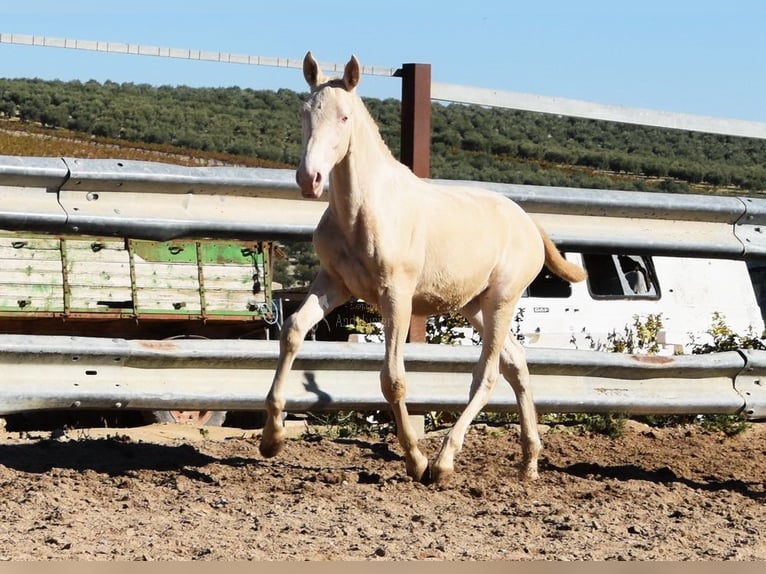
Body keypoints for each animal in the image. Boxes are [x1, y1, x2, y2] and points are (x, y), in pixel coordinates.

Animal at [258, 53, 588, 486]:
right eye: (303, 112)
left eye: (344, 117)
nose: (308, 179)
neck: (363, 211)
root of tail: (530, 224)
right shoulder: (334, 283)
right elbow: (293, 332)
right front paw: (271, 440)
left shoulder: (395, 294)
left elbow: (392, 378)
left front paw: (415, 460)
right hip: (474, 305)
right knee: (516, 363)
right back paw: (529, 462)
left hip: (502, 300)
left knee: (488, 374)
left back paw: (444, 461)